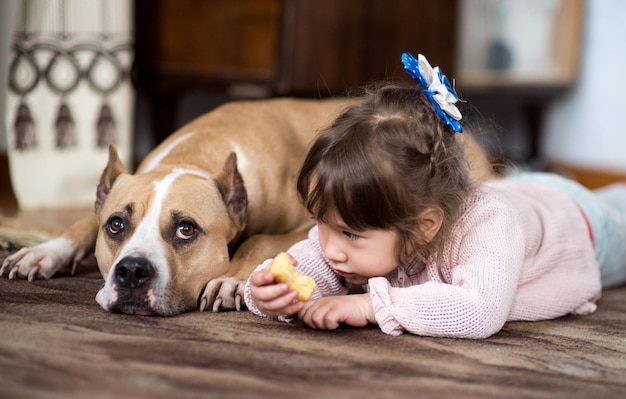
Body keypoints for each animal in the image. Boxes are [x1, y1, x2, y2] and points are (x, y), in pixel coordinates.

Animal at [1, 96, 498, 316]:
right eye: (116, 225)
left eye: (186, 229)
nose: (132, 272)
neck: (196, 157)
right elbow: (80, 222)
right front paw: (42, 253)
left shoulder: (305, 224)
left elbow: (259, 239)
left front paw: (231, 279)